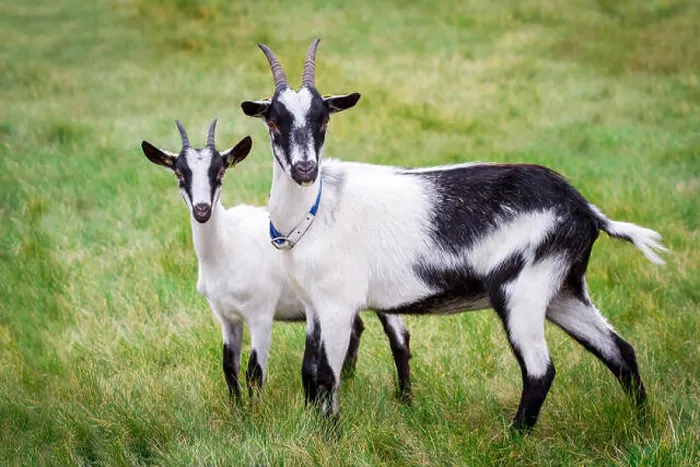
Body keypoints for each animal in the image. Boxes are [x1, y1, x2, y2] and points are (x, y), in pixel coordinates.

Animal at [140, 120, 413, 403]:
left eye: (220, 173)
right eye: (179, 175)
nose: (202, 210)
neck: (227, 246)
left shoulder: (260, 312)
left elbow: (254, 372)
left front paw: (256, 412)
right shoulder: (226, 316)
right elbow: (229, 368)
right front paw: (237, 410)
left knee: (398, 337)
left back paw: (405, 398)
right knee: (355, 328)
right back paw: (347, 380)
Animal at [240, 40, 667, 430]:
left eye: (324, 121)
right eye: (274, 122)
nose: (305, 170)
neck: (318, 210)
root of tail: (585, 209)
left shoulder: (338, 303)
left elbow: (327, 375)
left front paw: (331, 437)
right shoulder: (314, 304)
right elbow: (309, 372)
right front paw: (313, 429)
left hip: (521, 288)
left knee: (540, 370)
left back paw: (512, 440)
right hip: (564, 289)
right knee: (620, 351)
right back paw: (642, 424)